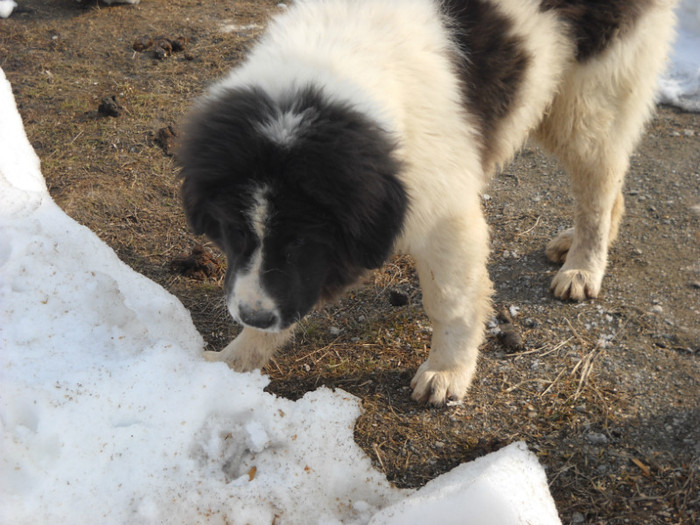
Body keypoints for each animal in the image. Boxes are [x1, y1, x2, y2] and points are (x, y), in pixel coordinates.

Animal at [180, 0, 680, 404]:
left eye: (301, 242)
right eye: (233, 232)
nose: (252, 315)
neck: (331, 68)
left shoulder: (445, 215)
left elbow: (450, 301)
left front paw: (447, 371)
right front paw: (233, 364)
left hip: (589, 99)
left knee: (598, 185)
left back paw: (583, 265)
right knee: (609, 183)